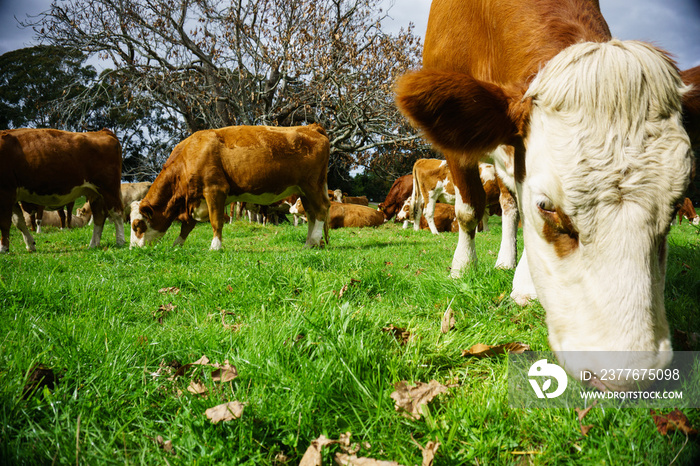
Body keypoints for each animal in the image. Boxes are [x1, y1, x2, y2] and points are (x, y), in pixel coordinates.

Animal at [131, 123, 330, 248]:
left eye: (137, 225)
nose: (133, 248)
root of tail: (311, 127)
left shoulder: (215, 190)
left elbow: (216, 221)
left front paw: (215, 246)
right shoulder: (195, 199)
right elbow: (187, 226)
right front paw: (177, 245)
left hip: (312, 186)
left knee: (320, 211)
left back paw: (312, 241)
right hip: (304, 190)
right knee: (312, 214)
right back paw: (311, 242)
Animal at [394, 0, 700, 390]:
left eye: (674, 207)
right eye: (547, 207)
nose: (629, 373)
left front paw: (523, 280)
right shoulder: (458, 149)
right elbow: (468, 210)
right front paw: (462, 267)